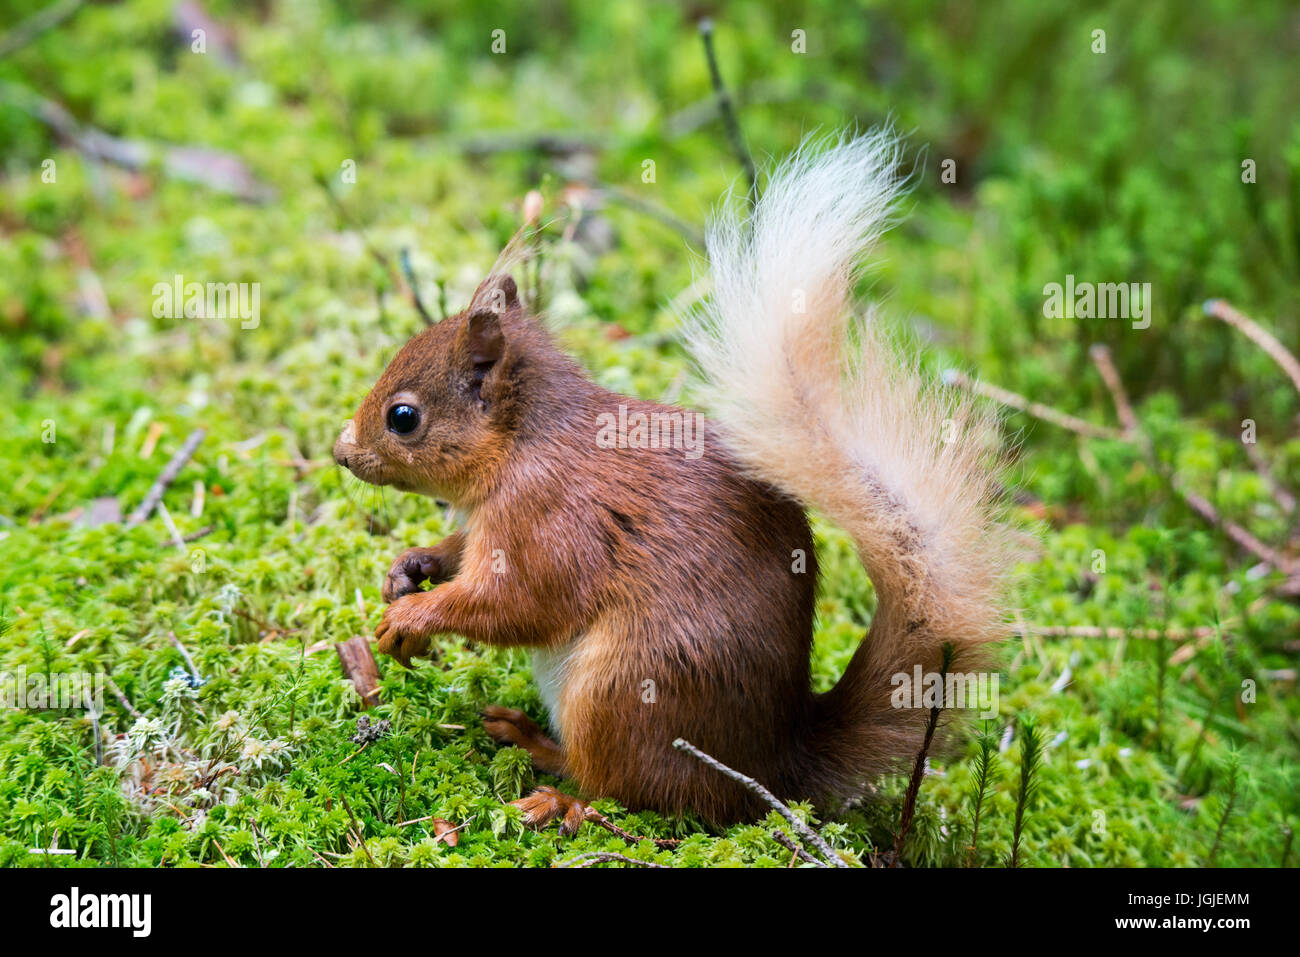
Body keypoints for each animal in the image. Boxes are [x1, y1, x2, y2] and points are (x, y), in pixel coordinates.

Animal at [332, 130, 1003, 826]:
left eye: (403, 417)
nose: (340, 452)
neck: (518, 448)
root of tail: (773, 767)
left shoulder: (550, 519)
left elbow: (519, 603)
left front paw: (414, 617)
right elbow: (459, 552)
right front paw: (410, 567)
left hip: (624, 686)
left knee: (624, 787)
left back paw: (555, 788)